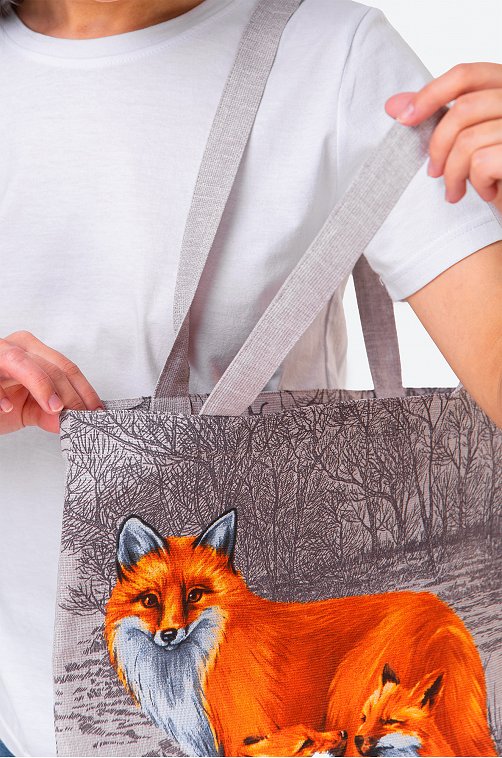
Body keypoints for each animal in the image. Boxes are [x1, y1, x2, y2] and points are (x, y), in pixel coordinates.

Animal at [104, 509, 496, 757]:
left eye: (195, 596)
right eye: (150, 601)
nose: (170, 634)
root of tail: (441, 610)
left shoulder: (246, 733)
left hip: (352, 712)